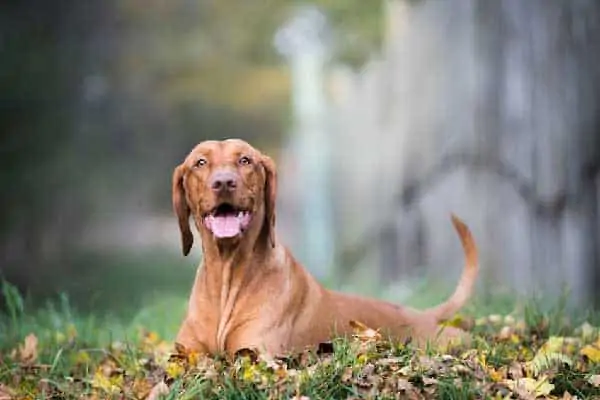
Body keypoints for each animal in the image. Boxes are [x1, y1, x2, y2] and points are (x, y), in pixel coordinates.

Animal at [170, 138, 478, 356]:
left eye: (245, 160)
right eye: (200, 162)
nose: (223, 182)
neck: (227, 272)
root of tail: (419, 313)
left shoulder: (255, 354)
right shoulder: (184, 357)